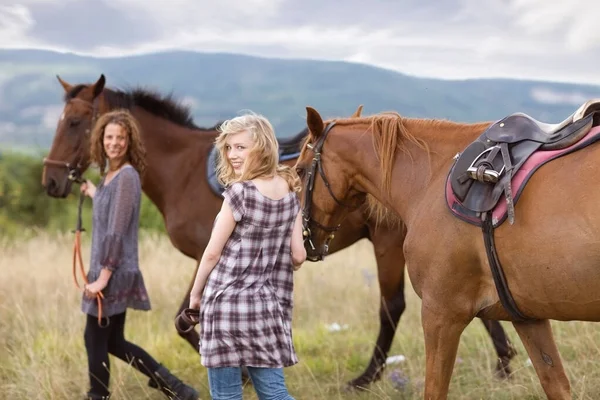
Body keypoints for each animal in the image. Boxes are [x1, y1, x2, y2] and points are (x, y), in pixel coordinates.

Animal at [43, 73, 516, 390]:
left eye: (75, 122)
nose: (51, 180)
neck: (183, 170)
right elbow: (190, 321)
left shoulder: (209, 256)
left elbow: (188, 321)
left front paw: (236, 371)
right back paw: (505, 362)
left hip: (388, 243)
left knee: (393, 306)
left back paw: (368, 376)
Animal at [298, 104, 600, 398]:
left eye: (300, 171)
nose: (304, 240)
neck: (431, 177)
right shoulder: (528, 317)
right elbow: (555, 384)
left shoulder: (440, 314)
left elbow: (434, 388)